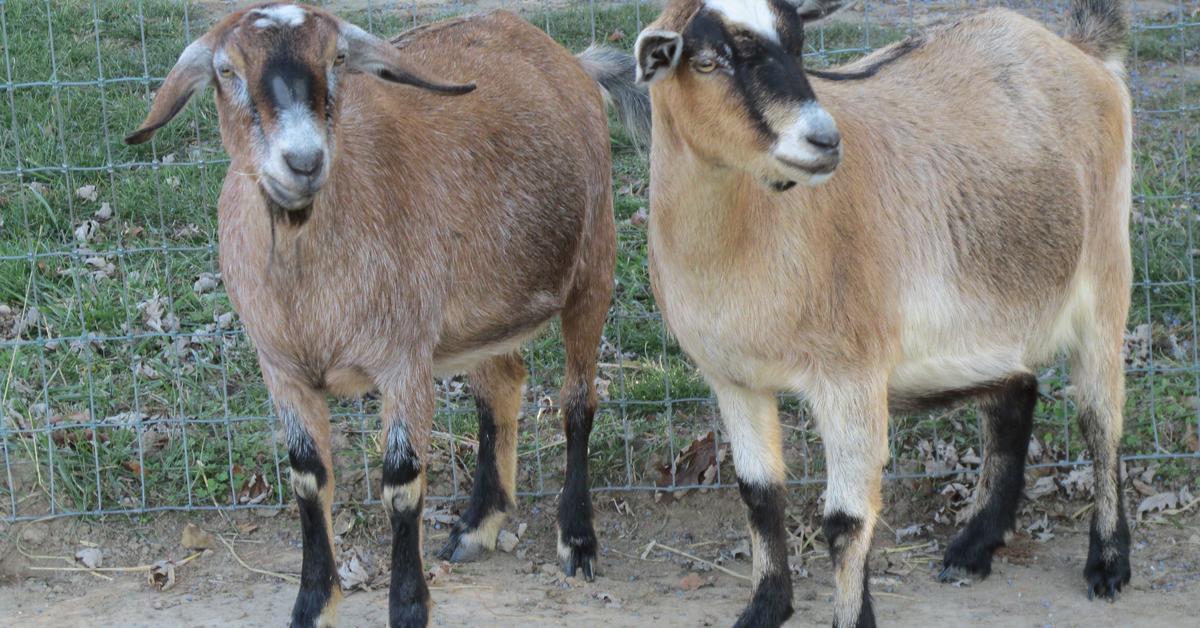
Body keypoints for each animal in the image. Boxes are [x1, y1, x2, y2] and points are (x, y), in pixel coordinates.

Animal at [124, 2, 648, 624]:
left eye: (338, 58)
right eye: (226, 70)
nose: (303, 161)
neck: (310, 295)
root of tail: (573, 62)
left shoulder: (404, 361)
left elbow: (402, 487)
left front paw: (408, 607)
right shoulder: (282, 370)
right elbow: (308, 480)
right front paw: (312, 606)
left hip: (595, 262)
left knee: (577, 401)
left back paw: (578, 540)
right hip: (480, 313)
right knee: (501, 385)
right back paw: (477, 525)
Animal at [638, 1, 1132, 628]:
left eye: (798, 46)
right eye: (706, 61)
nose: (824, 139)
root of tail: (1079, 49)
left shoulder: (850, 374)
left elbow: (845, 521)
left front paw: (851, 618)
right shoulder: (732, 379)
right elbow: (759, 496)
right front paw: (765, 607)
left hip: (1106, 277)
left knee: (1101, 421)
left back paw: (1108, 563)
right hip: (991, 314)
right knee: (1014, 394)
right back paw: (973, 547)